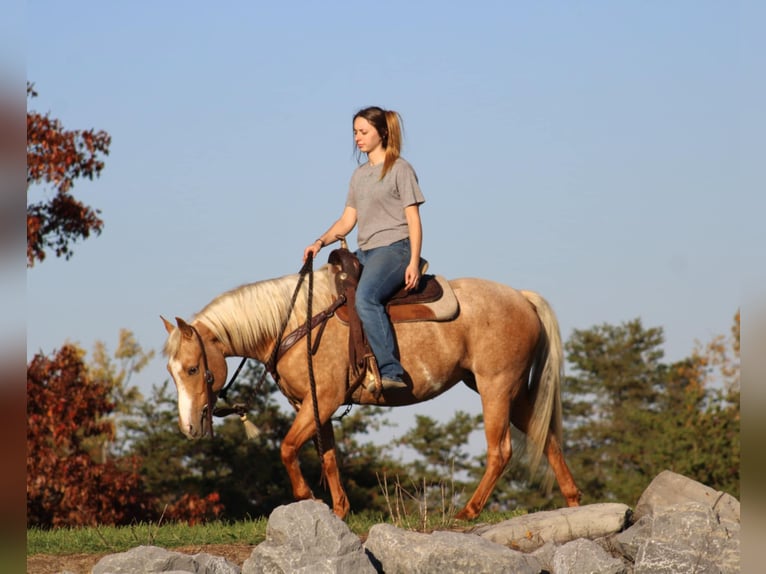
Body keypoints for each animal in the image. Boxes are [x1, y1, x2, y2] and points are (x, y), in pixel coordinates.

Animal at [162, 266, 584, 520]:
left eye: (194, 368)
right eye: (172, 371)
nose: (189, 427)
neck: (297, 322)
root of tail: (522, 297)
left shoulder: (323, 401)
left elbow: (286, 448)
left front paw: (308, 498)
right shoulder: (315, 407)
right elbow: (328, 457)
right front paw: (338, 510)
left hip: (495, 387)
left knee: (501, 451)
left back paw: (468, 511)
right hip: (509, 390)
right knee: (547, 436)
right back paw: (573, 500)